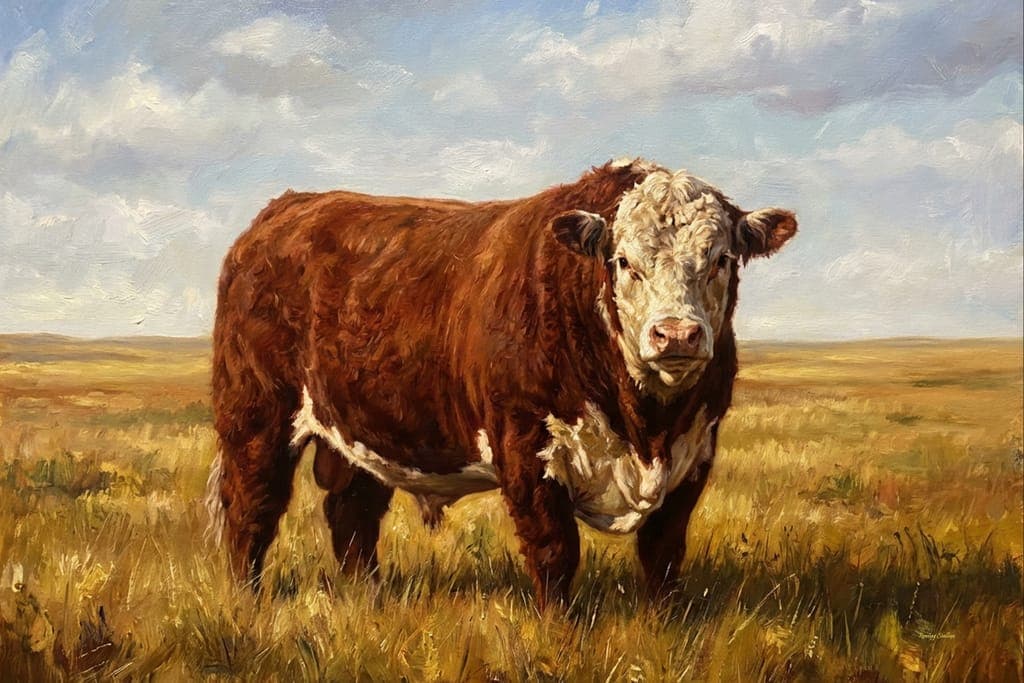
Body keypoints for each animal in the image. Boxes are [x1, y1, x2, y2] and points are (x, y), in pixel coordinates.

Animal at [206, 158, 796, 606]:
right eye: (624, 261)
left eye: (722, 259)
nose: (676, 334)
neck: (646, 428)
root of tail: (286, 208)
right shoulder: (526, 447)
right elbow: (555, 552)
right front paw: (559, 634)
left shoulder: (694, 454)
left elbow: (663, 554)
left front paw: (664, 625)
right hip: (257, 417)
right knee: (252, 507)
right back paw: (246, 602)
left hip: (363, 428)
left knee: (351, 514)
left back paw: (368, 598)